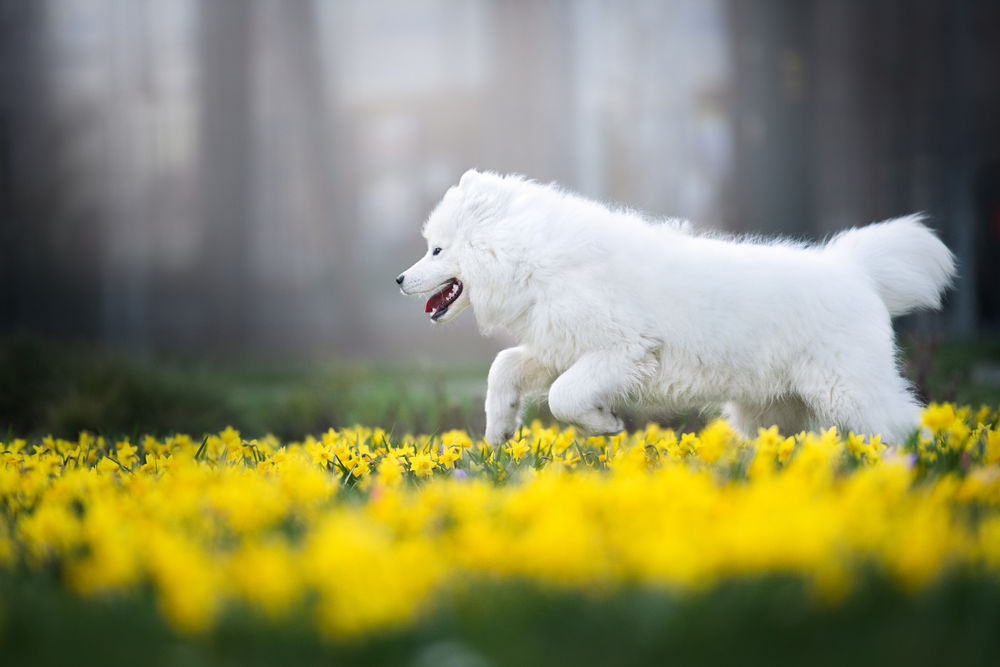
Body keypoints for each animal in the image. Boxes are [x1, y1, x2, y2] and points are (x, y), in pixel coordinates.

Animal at [394, 171, 956, 444]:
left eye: (436, 250)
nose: (398, 279)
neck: (536, 260)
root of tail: (854, 267)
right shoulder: (559, 348)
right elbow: (504, 367)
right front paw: (499, 430)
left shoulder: (620, 351)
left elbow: (562, 397)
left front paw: (604, 426)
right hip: (775, 412)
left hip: (849, 393)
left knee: (908, 425)